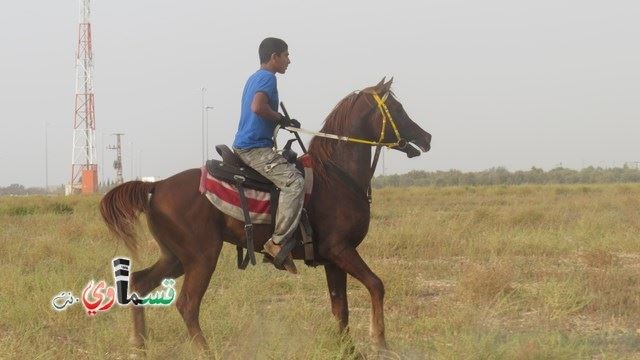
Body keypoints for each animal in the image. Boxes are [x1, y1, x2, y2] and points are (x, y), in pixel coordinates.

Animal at [99, 78, 430, 352]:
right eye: (397, 108)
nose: (425, 137)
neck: (337, 176)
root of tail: (156, 186)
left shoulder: (332, 260)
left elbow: (341, 308)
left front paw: (349, 351)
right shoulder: (341, 249)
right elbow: (376, 285)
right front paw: (380, 342)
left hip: (175, 257)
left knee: (139, 284)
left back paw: (139, 346)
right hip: (202, 256)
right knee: (188, 305)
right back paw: (204, 352)